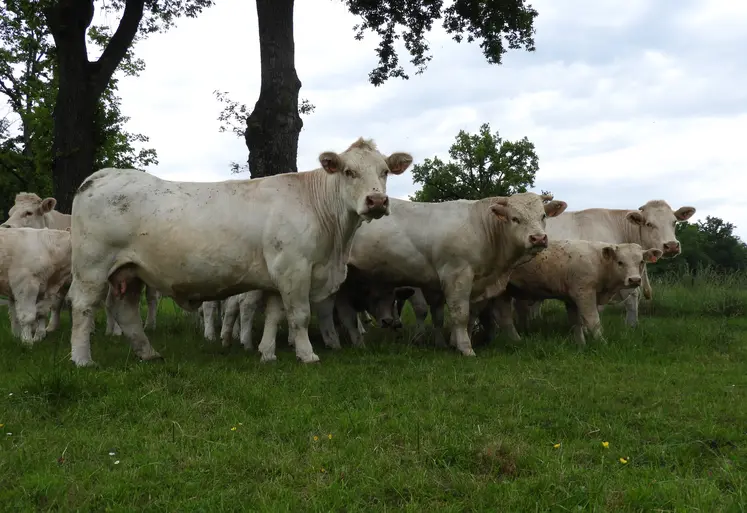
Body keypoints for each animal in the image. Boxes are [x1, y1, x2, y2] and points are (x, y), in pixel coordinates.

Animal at [66, 138, 412, 366]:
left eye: (384, 171)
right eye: (349, 172)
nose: (377, 201)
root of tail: (104, 174)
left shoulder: (279, 275)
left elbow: (275, 315)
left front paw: (267, 353)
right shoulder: (295, 268)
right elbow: (299, 316)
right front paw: (307, 354)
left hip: (131, 271)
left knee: (124, 310)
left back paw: (147, 353)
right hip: (92, 267)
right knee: (83, 308)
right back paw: (83, 360)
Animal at [344, 192, 568, 356]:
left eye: (543, 216)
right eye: (515, 218)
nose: (538, 238)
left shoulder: (477, 282)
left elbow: (468, 315)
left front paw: (453, 341)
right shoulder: (456, 275)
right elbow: (460, 314)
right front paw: (465, 348)